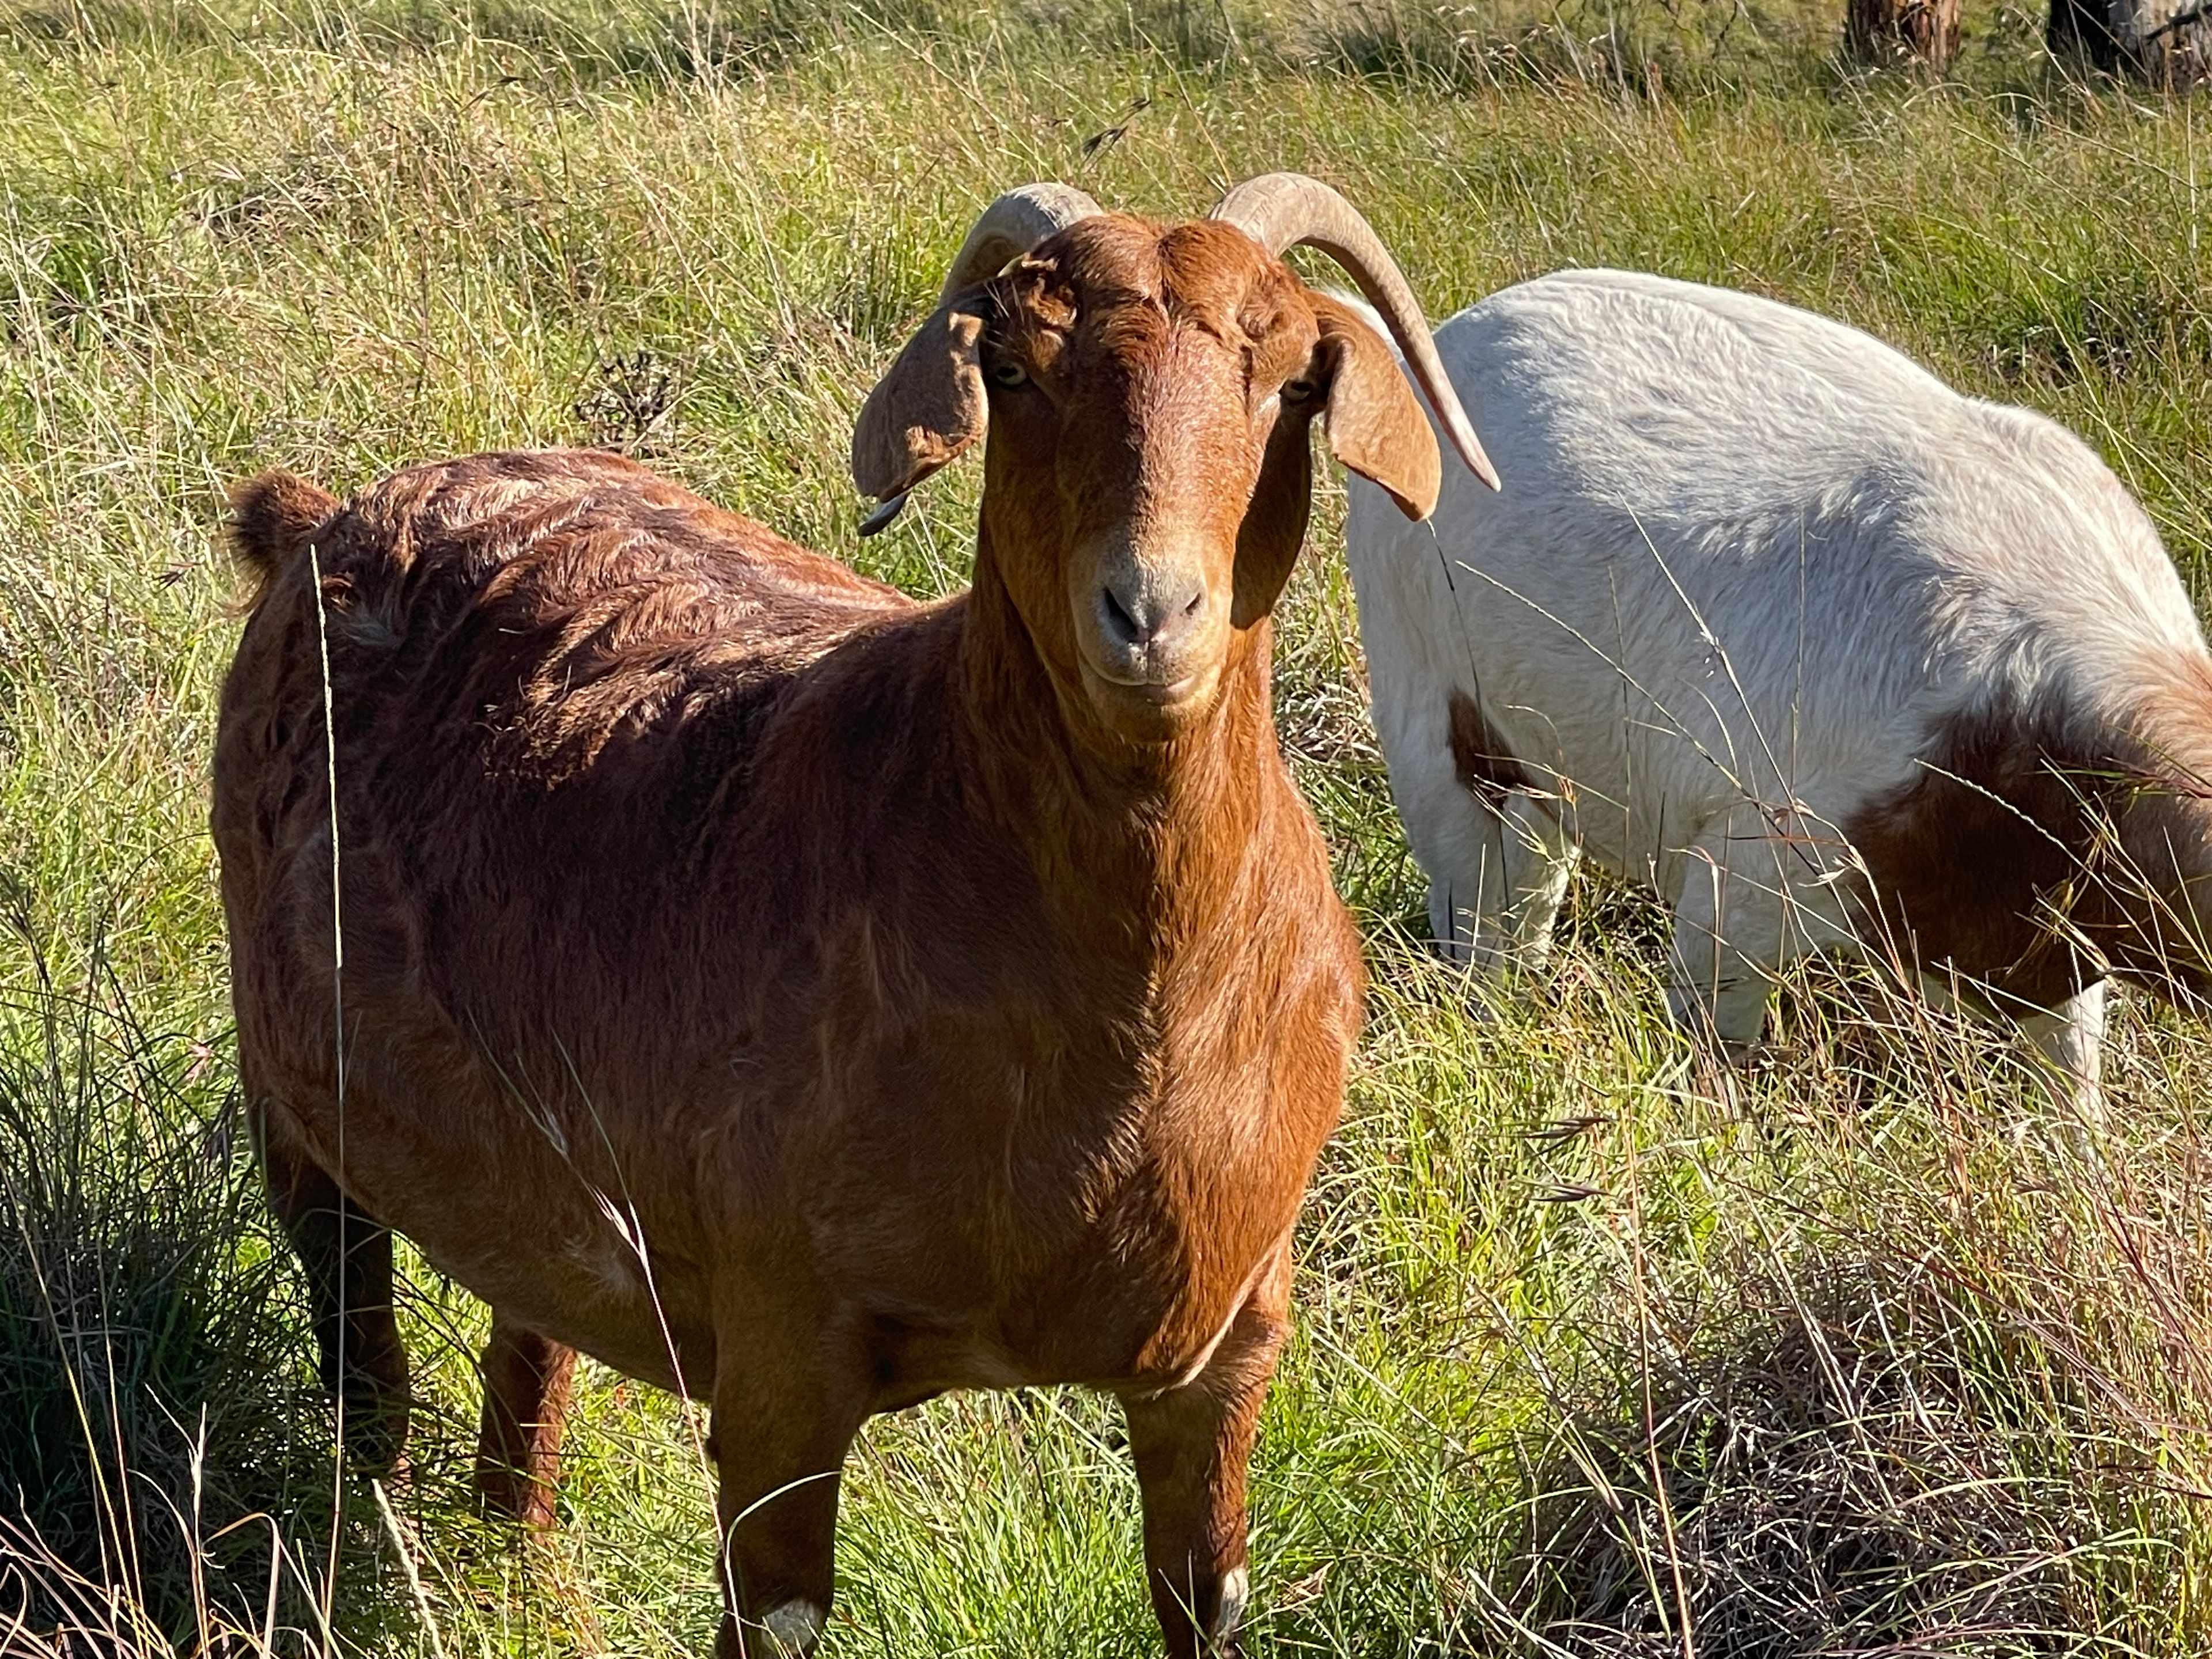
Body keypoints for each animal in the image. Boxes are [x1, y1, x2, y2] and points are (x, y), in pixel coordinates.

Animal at [212, 174, 1494, 1658]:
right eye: (1012, 369)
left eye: (1289, 380)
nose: (1150, 610)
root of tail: (328, 514)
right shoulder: (782, 1352)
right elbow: (772, 1612)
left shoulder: (1228, 1345)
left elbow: (1202, 1597)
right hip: (294, 1086)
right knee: (359, 1351)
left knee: (529, 1340)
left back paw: (525, 1567)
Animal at [1342, 268, 2211, 1120]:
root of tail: (1437, 336)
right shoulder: (1743, 884)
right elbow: (1712, 1074)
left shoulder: (2048, 951)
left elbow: (2075, 1100)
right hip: (1423, 708)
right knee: (1471, 923)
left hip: (1542, 761)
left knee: (1529, 892)